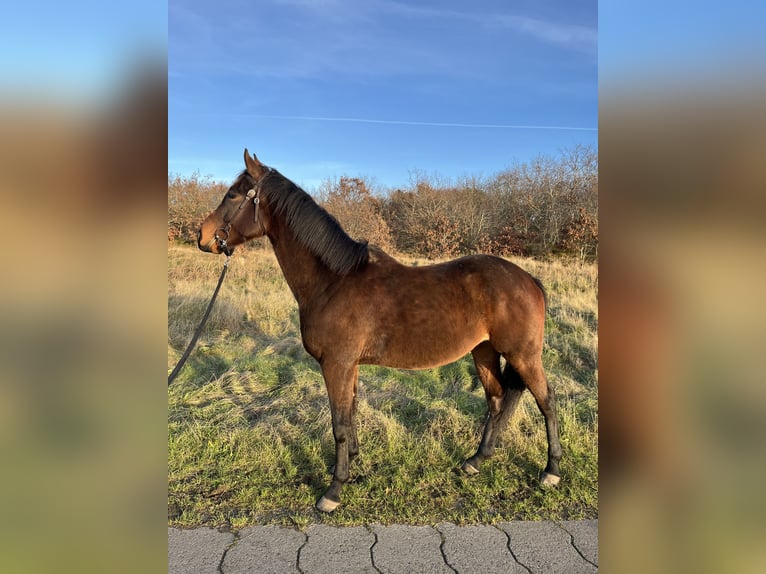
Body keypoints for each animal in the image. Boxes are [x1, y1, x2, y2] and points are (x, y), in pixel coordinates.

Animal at [196, 151, 564, 516]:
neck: (333, 280)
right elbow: (351, 414)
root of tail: (529, 279)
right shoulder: (349, 366)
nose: (202, 236)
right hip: (484, 351)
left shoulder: (336, 364)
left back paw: (551, 471)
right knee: (497, 398)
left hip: (522, 354)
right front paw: (351, 463)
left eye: (233, 194)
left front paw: (333, 490)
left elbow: (339, 424)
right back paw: (476, 461)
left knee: (546, 400)